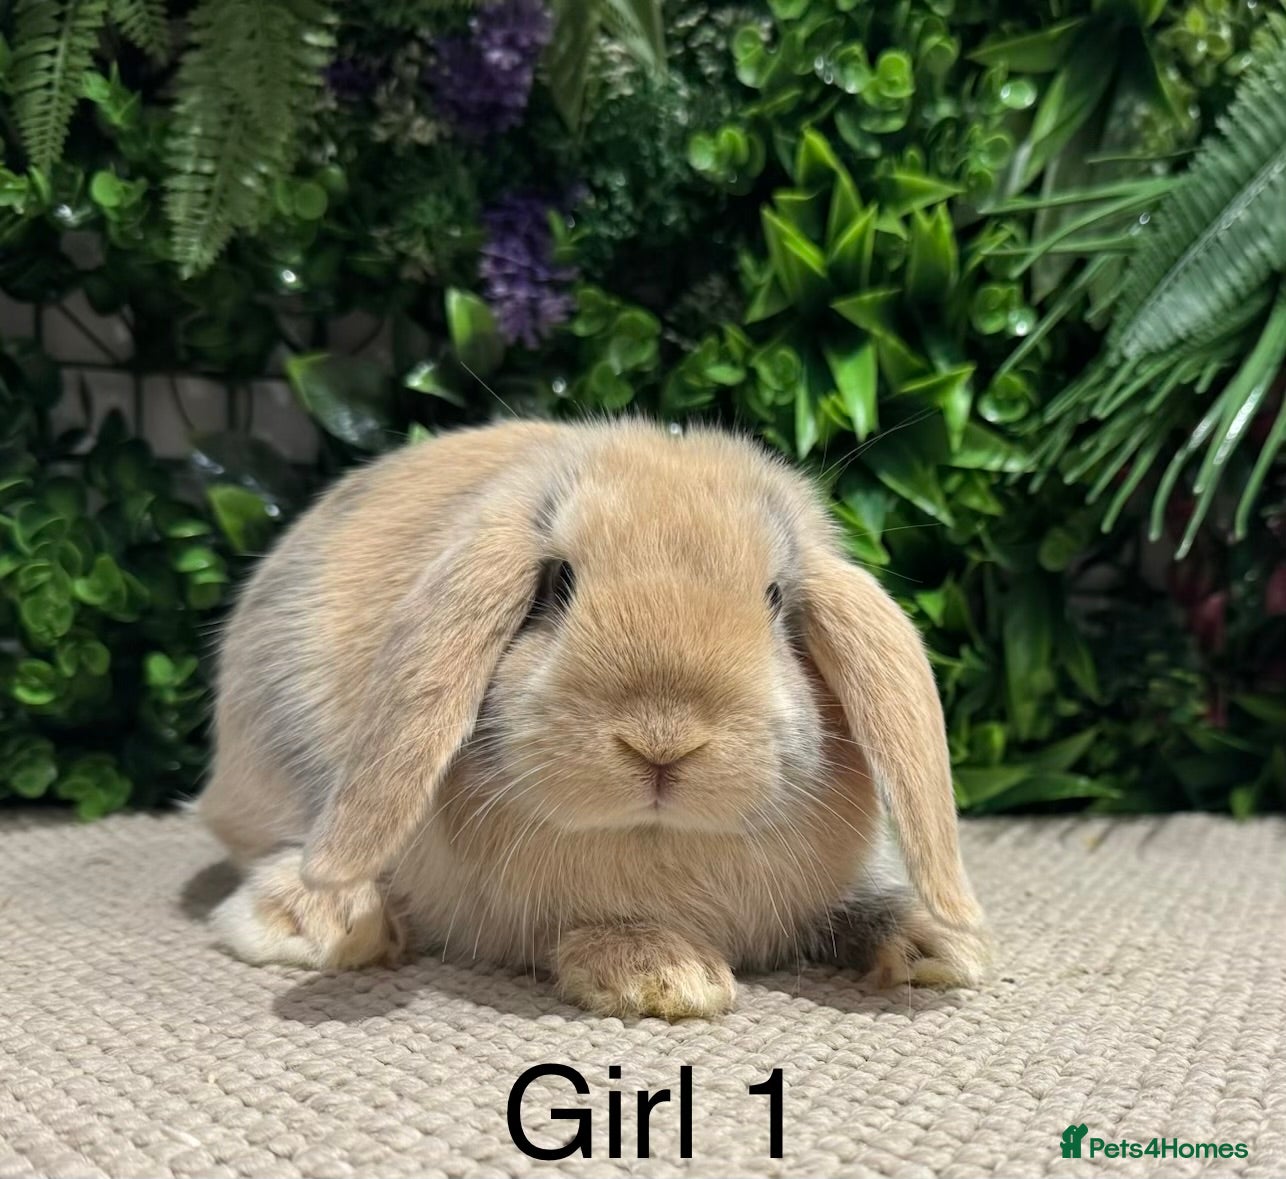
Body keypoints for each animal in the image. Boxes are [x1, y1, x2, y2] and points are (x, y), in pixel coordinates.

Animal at [196, 418, 991, 1019]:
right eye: (558, 583)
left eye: (774, 599)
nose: (663, 740)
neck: (655, 841)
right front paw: (668, 977)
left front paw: (940, 946)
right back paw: (321, 920)